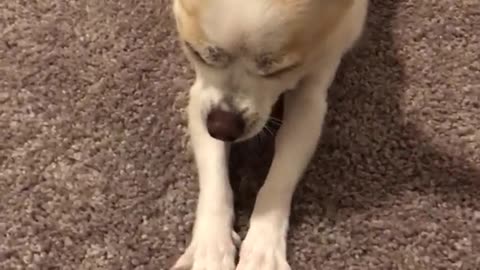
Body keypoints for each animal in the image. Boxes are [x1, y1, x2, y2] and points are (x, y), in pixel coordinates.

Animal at [171, 1, 370, 268]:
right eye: (197, 53)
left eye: (280, 70)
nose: (223, 126)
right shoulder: (201, 100)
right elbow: (215, 178)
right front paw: (212, 246)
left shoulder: (311, 98)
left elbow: (280, 177)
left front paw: (263, 247)